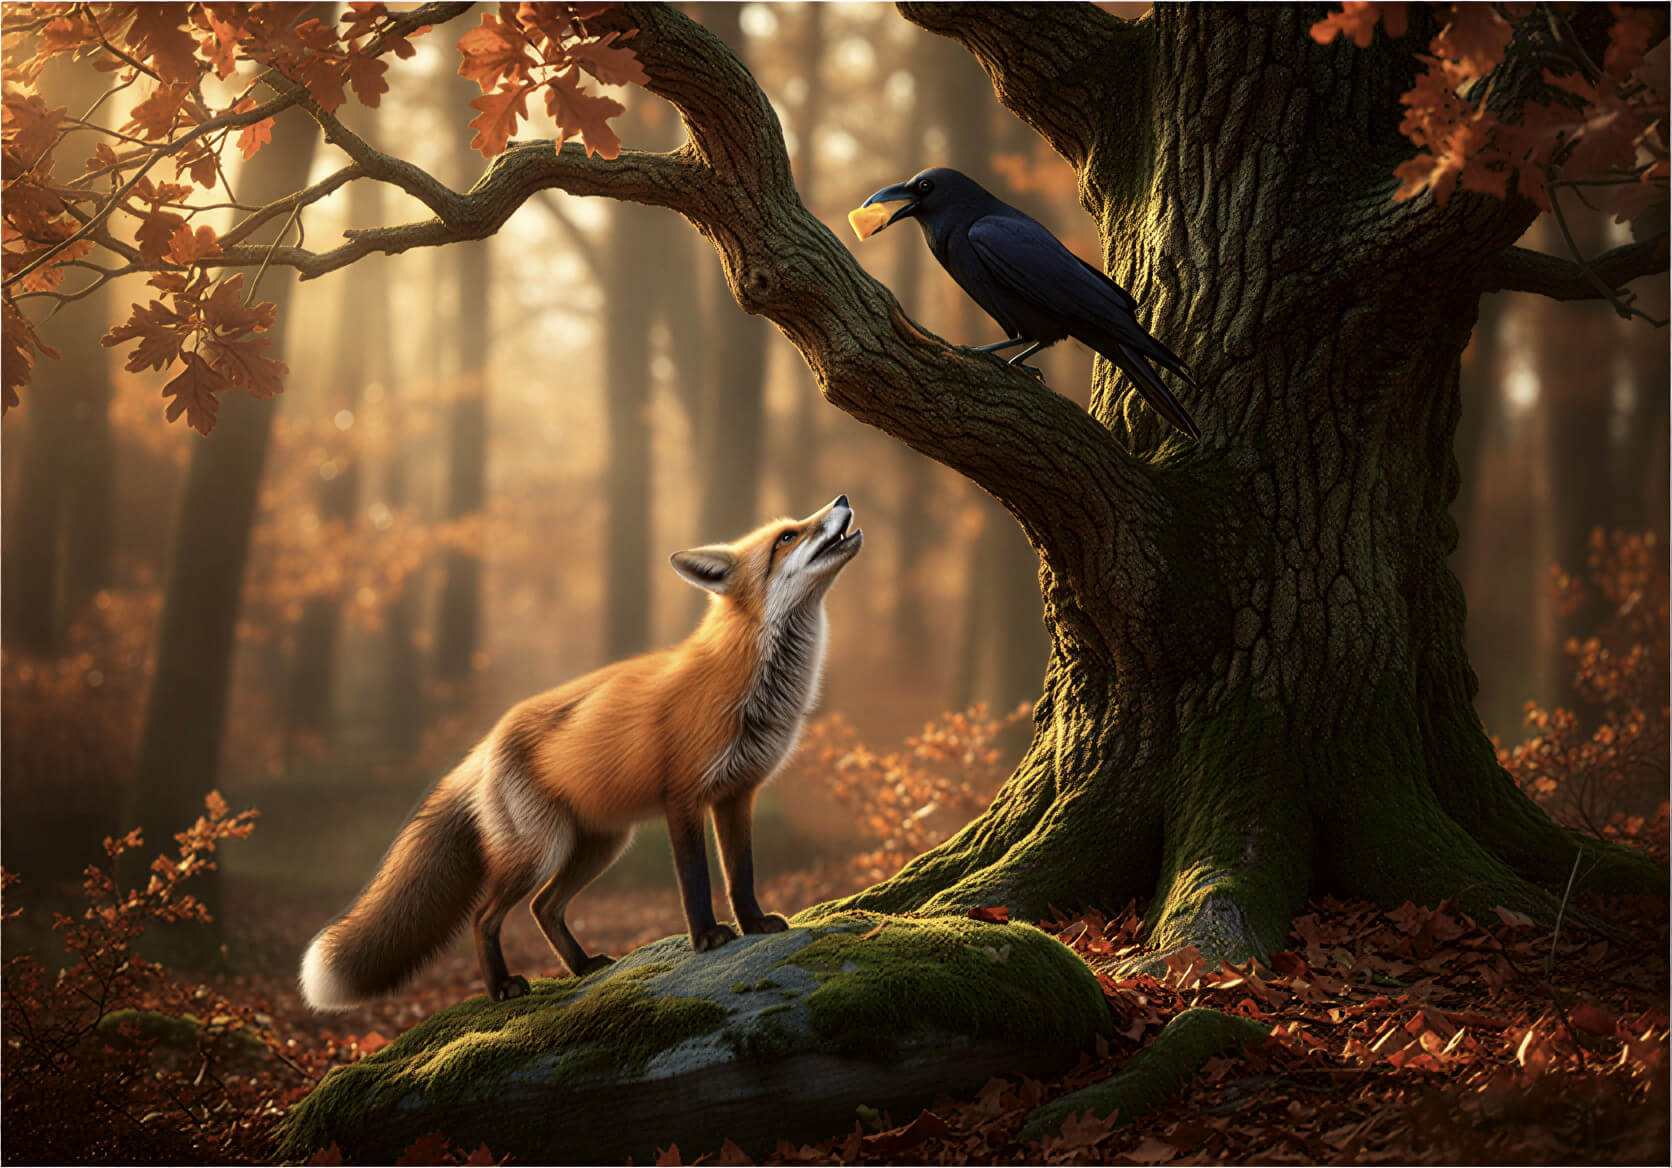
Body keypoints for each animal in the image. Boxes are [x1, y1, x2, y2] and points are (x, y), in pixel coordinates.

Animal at [299, 495, 863, 1009]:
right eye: (786, 537)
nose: (841, 499)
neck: (747, 682)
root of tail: (485, 745)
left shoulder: (736, 795)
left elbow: (740, 874)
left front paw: (754, 924)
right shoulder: (683, 797)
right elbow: (696, 880)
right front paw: (707, 938)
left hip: (598, 846)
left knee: (544, 908)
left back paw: (581, 965)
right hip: (541, 850)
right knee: (486, 916)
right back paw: (502, 987)